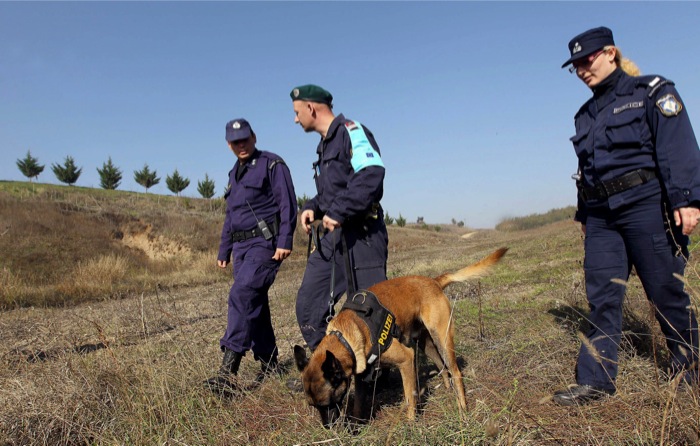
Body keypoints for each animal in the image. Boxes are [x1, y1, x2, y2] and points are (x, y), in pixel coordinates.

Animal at [292, 246, 506, 426]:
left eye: (328, 402)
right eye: (313, 406)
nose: (328, 427)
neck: (346, 336)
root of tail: (434, 281)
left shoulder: (406, 358)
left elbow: (410, 395)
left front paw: (411, 423)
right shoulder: (361, 376)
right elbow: (359, 404)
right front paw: (356, 426)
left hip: (442, 339)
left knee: (455, 372)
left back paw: (462, 408)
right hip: (426, 344)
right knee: (442, 367)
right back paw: (446, 388)